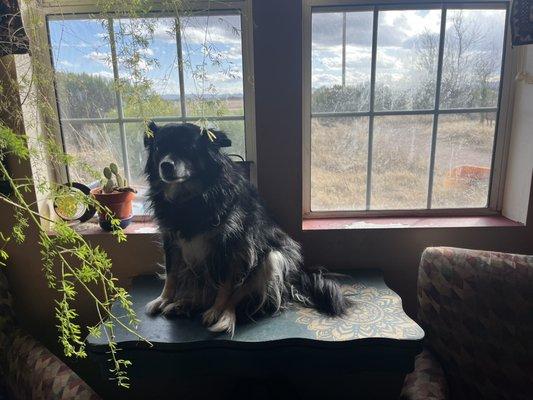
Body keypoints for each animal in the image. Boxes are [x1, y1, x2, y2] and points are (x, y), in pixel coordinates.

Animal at [143, 122, 350, 334]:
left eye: (187, 148)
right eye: (158, 148)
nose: (165, 165)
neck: (191, 200)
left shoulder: (231, 246)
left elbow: (226, 286)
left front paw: (217, 310)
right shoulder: (170, 241)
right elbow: (171, 274)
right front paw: (163, 299)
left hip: (271, 259)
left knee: (238, 297)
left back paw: (224, 317)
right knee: (202, 293)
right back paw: (183, 304)